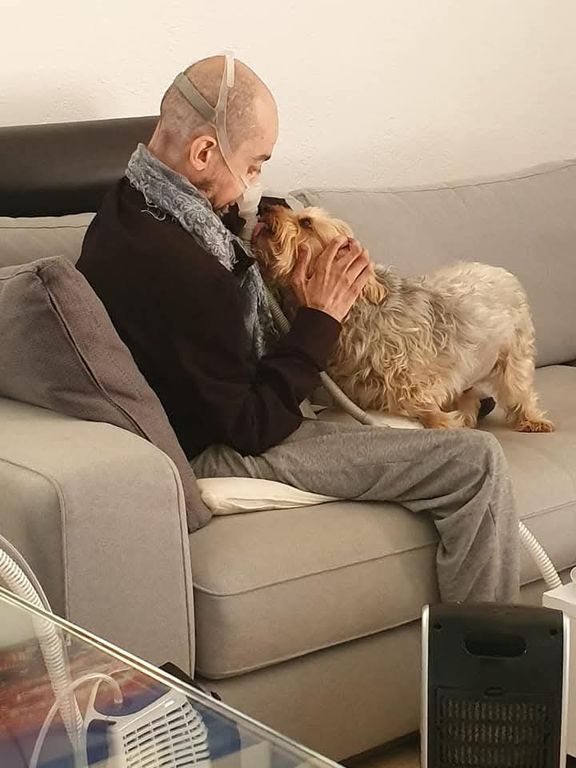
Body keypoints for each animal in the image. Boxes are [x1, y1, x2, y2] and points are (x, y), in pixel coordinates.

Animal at [252, 205, 554, 432]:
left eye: (306, 222)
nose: (265, 208)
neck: (355, 310)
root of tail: (500, 270)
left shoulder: (417, 380)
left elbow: (420, 404)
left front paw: (444, 422)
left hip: (513, 356)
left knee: (517, 389)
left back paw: (532, 419)